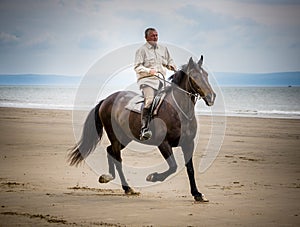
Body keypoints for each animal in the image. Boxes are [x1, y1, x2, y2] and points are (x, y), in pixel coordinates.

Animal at [68, 55, 216, 201]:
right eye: (194, 76)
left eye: (206, 75)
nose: (211, 97)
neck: (178, 111)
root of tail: (106, 100)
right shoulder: (164, 144)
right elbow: (173, 166)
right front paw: (153, 177)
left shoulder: (188, 143)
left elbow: (190, 169)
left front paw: (197, 194)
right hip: (115, 136)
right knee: (118, 158)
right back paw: (127, 188)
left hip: (125, 138)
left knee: (110, 151)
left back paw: (108, 177)